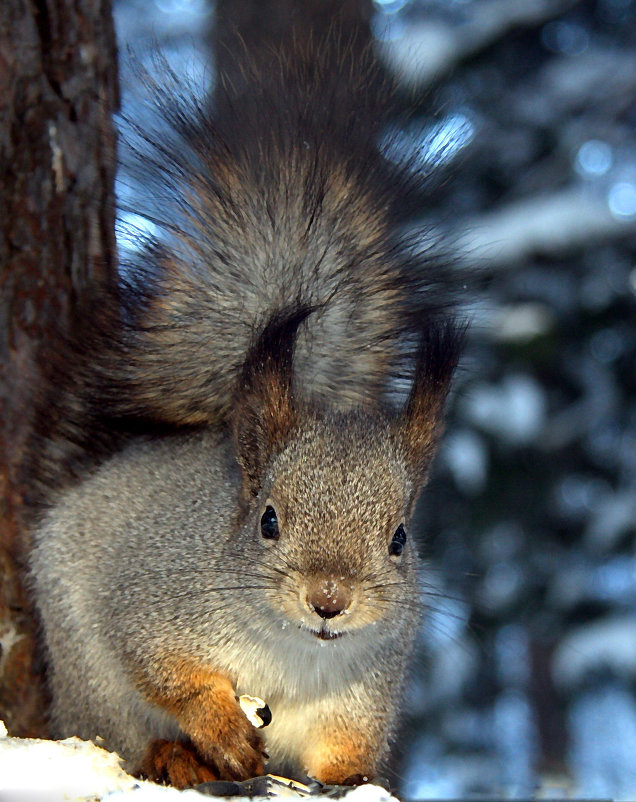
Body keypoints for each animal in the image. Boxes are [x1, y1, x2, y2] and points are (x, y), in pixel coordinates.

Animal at [23, 15, 462, 792]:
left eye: (400, 538)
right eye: (268, 520)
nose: (329, 601)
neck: (296, 651)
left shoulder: (362, 693)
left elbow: (345, 750)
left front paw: (354, 782)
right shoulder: (153, 601)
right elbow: (168, 673)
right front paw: (221, 730)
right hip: (88, 678)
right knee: (122, 730)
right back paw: (176, 756)